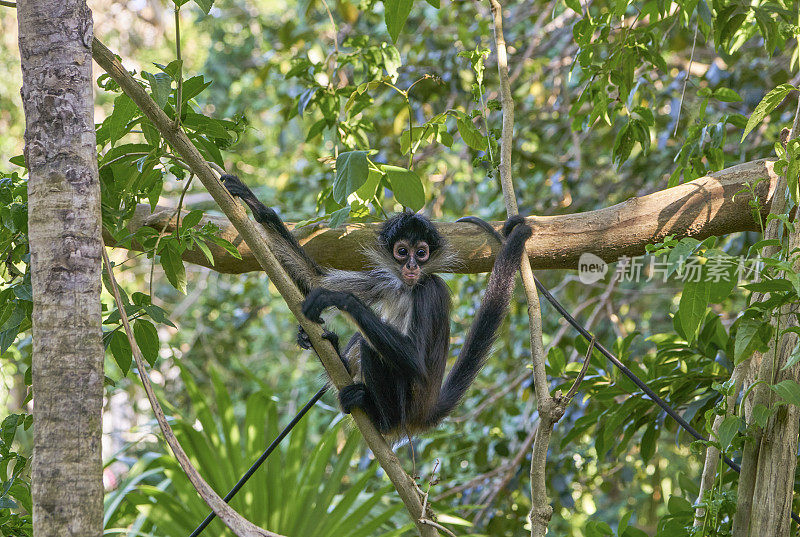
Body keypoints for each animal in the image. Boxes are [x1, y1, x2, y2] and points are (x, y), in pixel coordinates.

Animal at [220, 175, 532, 436]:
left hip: (404, 407)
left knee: (370, 345)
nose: (411, 266)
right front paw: (257, 207)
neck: (406, 288)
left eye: (421, 253)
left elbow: (415, 361)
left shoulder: (429, 290)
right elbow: (315, 278)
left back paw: (379, 417)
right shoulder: (386, 279)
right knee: (360, 339)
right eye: (402, 251)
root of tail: (423, 413)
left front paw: (342, 300)